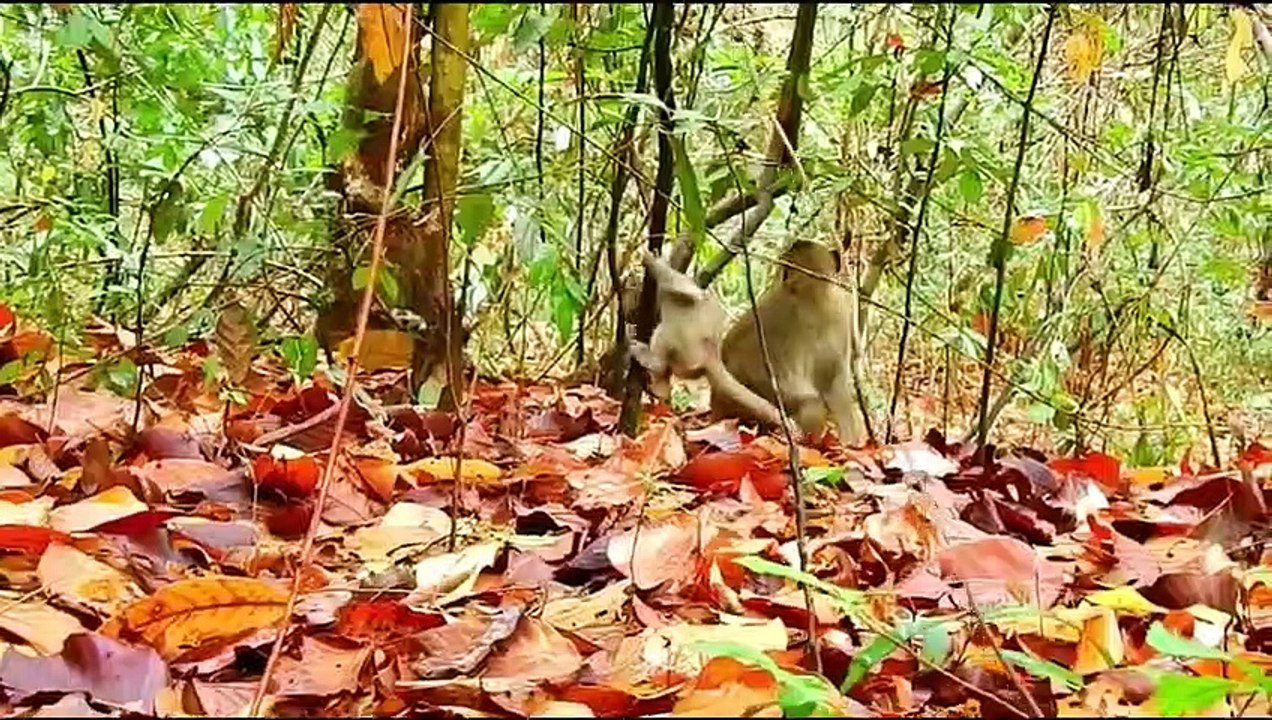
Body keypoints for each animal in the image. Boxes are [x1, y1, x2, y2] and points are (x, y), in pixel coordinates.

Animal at [629, 250, 788, 429]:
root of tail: (712, 354)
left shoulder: (682, 288)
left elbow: (686, 289)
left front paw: (651, 260)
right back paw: (660, 388)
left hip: (689, 347)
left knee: (668, 330)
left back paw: (654, 362)